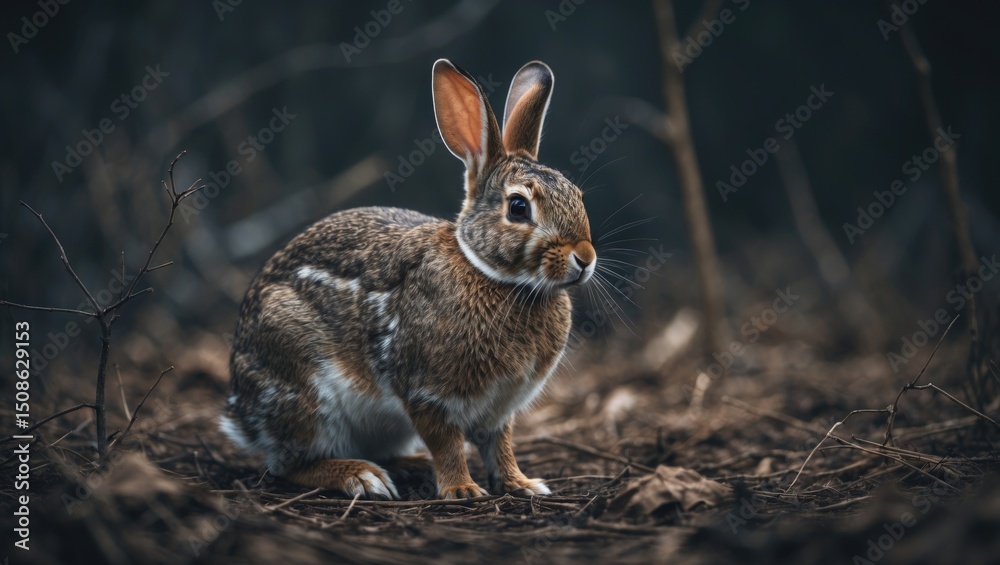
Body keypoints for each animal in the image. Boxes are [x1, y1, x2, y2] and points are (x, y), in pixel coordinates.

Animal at [220, 59, 596, 500]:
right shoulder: (427, 392)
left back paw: (410, 467)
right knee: (290, 464)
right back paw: (361, 477)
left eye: (578, 196)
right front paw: (462, 490)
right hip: (305, 394)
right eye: (518, 207)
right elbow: (447, 443)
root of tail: (240, 412)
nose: (585, 258)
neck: (492, 274)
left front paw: (523, 484)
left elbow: (500, 446)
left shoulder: (500, 409)